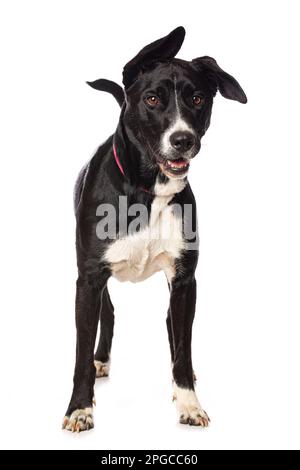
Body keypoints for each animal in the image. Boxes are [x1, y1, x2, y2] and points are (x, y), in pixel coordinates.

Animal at [62, 24, 246, 430]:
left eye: (197, 98)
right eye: (151, 99)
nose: (183, 140)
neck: (148, 191)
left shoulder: (184, 280)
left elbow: (182, 345)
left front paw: (188, 401)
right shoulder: (89, 278)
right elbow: (81, 351)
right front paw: (79, 408)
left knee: (175, 332)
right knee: (109, 314)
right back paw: (101, 361)